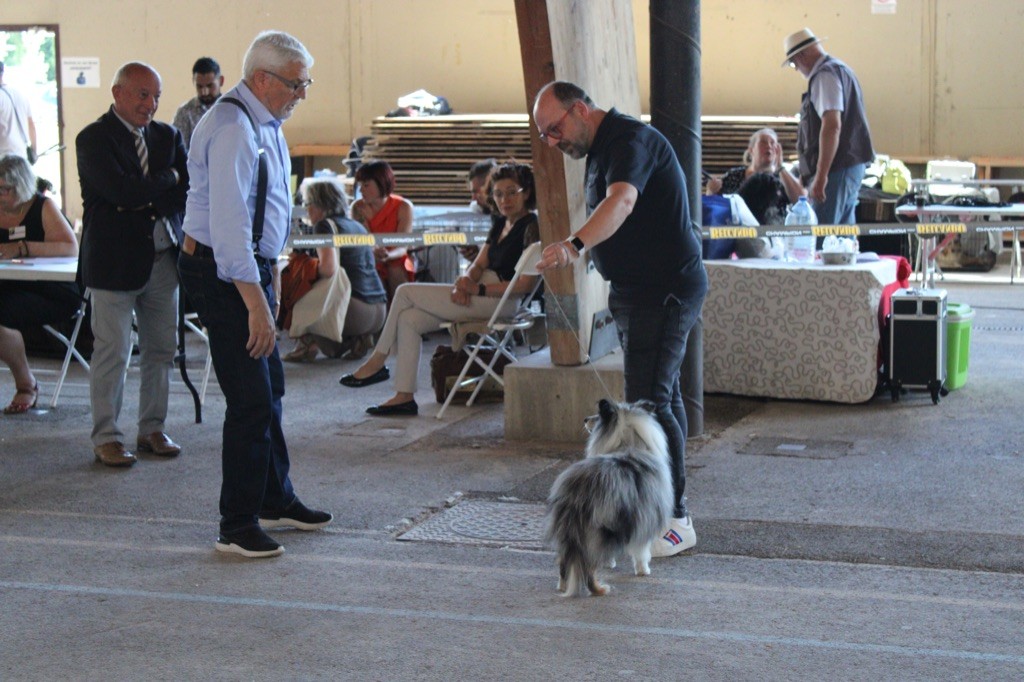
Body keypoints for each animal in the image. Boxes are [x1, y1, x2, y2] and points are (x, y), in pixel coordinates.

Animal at [544, 399, 671, 593]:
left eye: (598, 417)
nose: (585, 419)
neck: (628, 444)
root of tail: (578, 489)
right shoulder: (644, 518)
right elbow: (641, 549)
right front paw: (643, 570)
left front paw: (610, 563)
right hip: (597, 528)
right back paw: (598, 588)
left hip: (571, 528)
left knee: (564, 559)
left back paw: (563, 585)